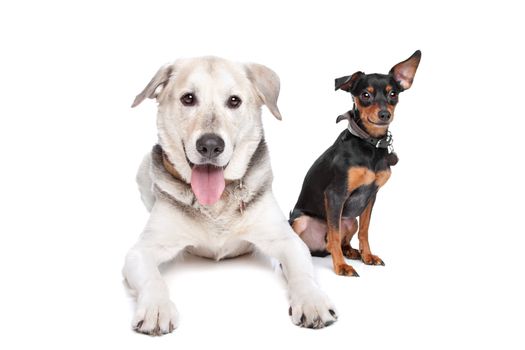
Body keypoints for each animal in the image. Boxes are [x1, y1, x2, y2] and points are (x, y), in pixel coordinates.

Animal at [122, 56, 336, 334]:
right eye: (188, 98)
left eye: (234, 101)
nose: (210, 145)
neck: (217, 203)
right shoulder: (141, 251)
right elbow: (153, 279)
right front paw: (156, 308)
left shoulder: (288, 241)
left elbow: (303, 274)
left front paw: (312, 301)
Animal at [288, 51, 420, 276]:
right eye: (365, 95)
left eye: (393, 94)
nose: (385, 114)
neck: (370, 144)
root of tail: (316, 250)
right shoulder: (335, 194)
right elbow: (334, 235)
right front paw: (341, 266)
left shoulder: (371, 197)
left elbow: (365, 231)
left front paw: (368, 256)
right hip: (300, 220)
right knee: (323, 241)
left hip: (351, 221)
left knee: (342, 240)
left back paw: (351, 252)